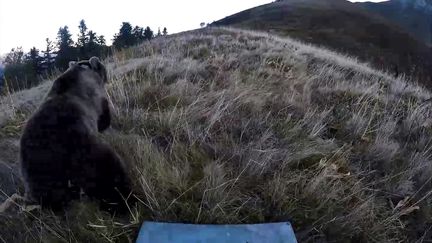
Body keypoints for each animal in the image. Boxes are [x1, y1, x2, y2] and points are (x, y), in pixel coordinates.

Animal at [19, 56, 133, 212]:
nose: (104, 68)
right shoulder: (97, 98)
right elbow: (104, 117)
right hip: (85, 154)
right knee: (109, 174)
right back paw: (123, 202)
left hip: (37, 177)